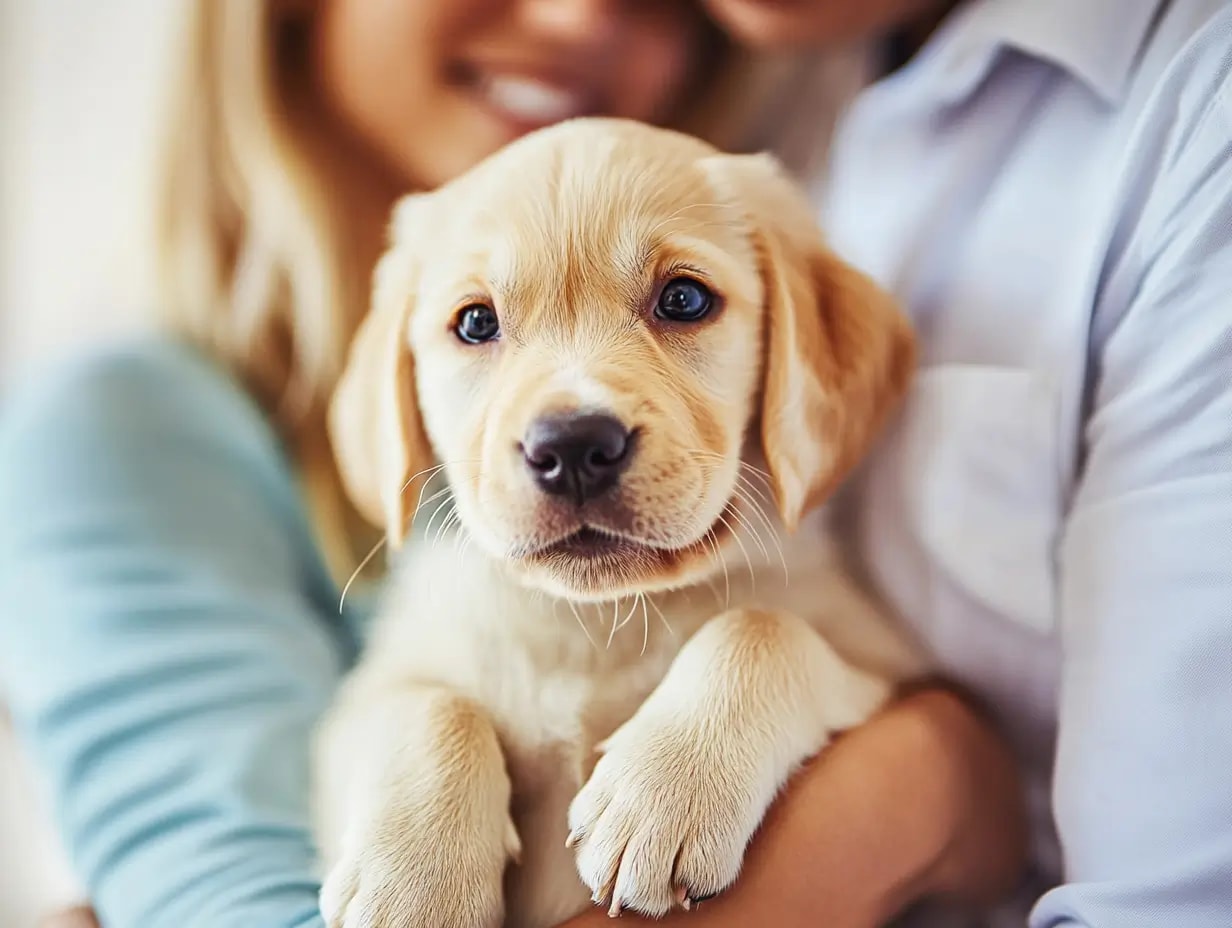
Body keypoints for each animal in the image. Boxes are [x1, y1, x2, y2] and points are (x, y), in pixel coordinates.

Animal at [317, 115, 926, 926]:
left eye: (685, 300)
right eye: (475, 322)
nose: (573, 446)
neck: (594, 624)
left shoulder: (892, 669)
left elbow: (760, 626)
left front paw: (665, 791)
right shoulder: (352, 712)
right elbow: (428, 703)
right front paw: (415, 884)